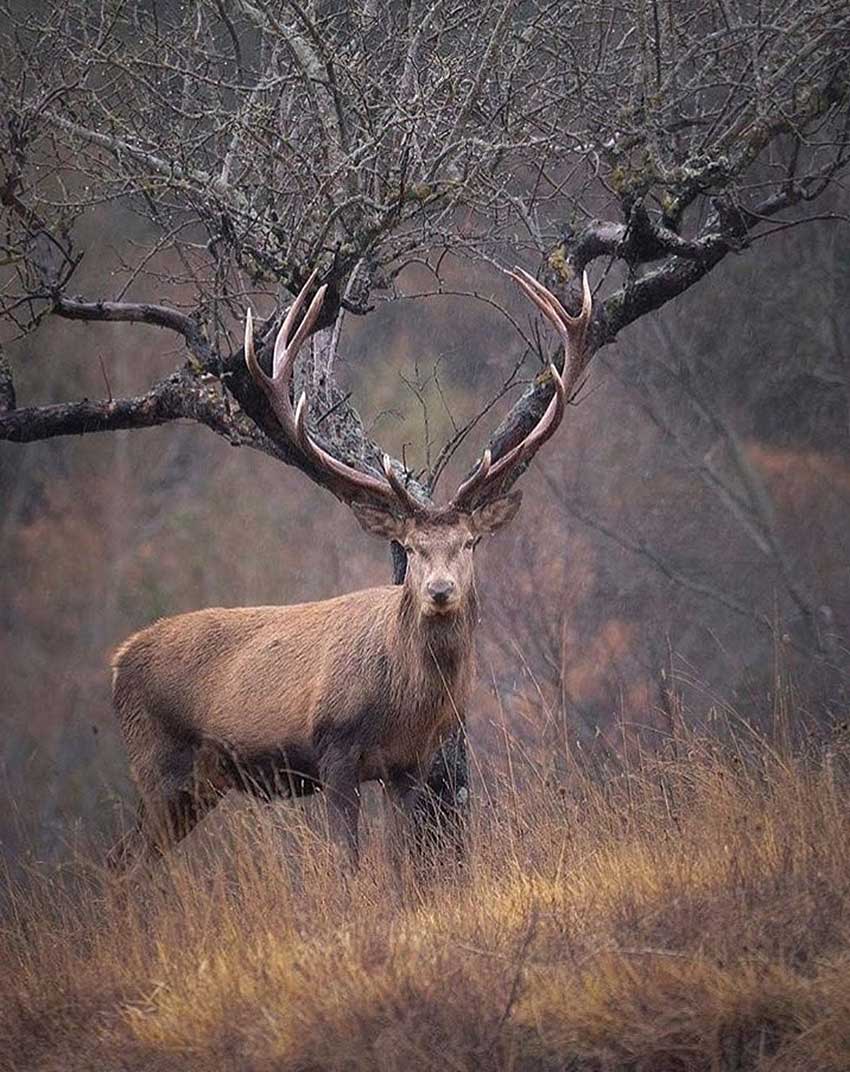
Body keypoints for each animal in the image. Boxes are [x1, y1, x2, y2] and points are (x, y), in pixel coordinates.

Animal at [108, 266, 592, 869]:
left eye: (470, 542)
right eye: (410, 547)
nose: (439, 590)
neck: (404, 703)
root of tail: (117, 663)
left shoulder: (409, 764)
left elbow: (402, 859)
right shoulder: (332, 750)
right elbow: (349, 862)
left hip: (196, 785)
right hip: (158, 761)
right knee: (124, 858)